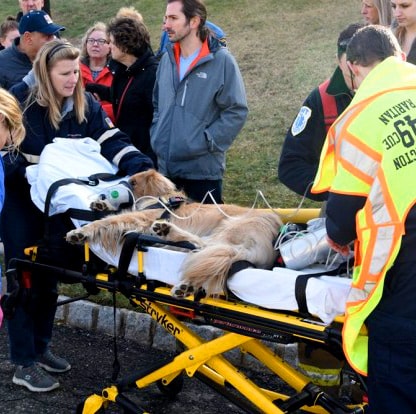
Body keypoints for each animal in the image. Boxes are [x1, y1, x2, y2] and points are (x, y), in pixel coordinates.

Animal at [66, 169, 282, 298]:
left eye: (133, 183)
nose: (108, 193)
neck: (163, 199)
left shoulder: (140, 218)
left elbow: (109, 220)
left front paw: (80, 232)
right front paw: (101, 205)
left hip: (227, 229)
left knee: (201, 245)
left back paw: (166, 230)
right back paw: (188, 286)